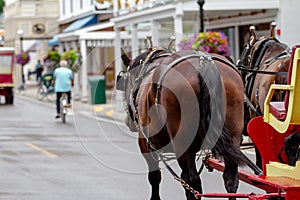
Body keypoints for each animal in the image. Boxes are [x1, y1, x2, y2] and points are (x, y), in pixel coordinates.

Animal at [118, 39, 248, 200]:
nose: (128, 121)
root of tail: (205, 62)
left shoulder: (145, 143)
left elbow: (155, 177)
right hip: (233, 137)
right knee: (230, 178)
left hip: (182, 144)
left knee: (192, 181)